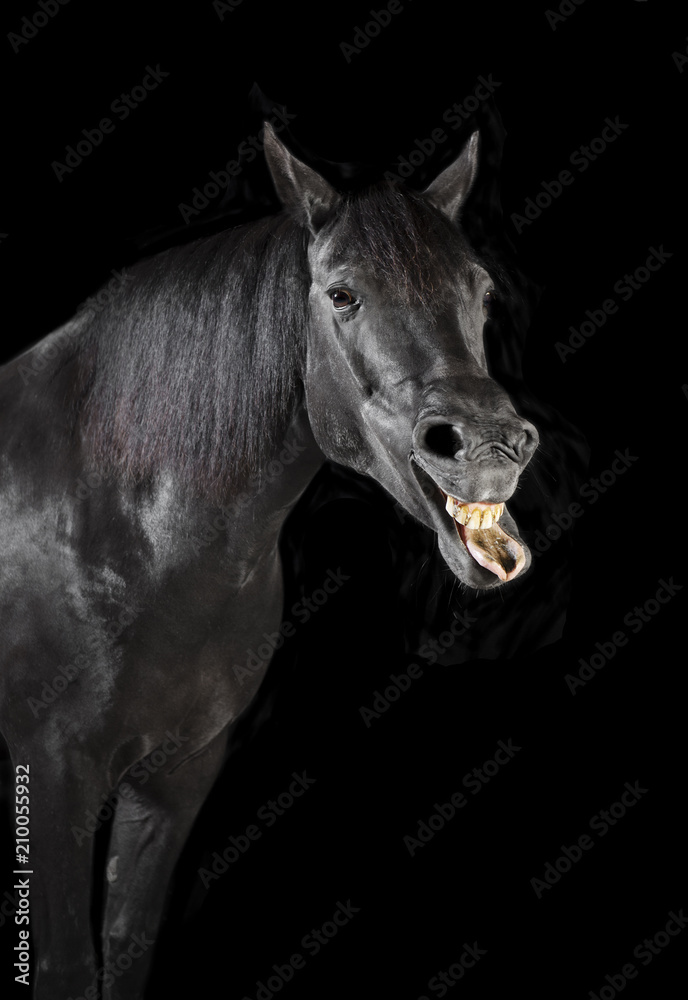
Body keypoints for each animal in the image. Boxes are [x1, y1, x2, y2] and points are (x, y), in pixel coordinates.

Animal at [0, 121, 539, 999]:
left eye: (482, 293)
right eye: (342, 295)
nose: (490, 447)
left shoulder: (176, 779)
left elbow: (124, 950)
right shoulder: (53, 778)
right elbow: (69, 969)